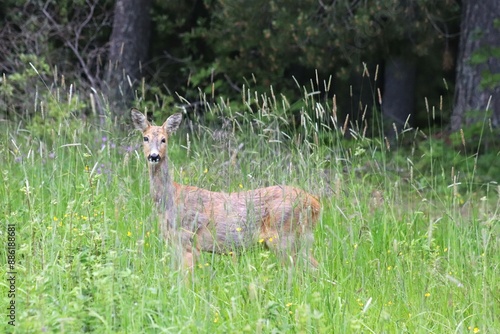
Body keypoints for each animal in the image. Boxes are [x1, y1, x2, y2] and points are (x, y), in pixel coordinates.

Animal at [132, 108, 320, 270]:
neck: (170, 200)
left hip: (284, 236)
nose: (154, 156)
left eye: (164, 139)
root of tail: (315, 203)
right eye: (145, 138)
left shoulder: (188, 241)